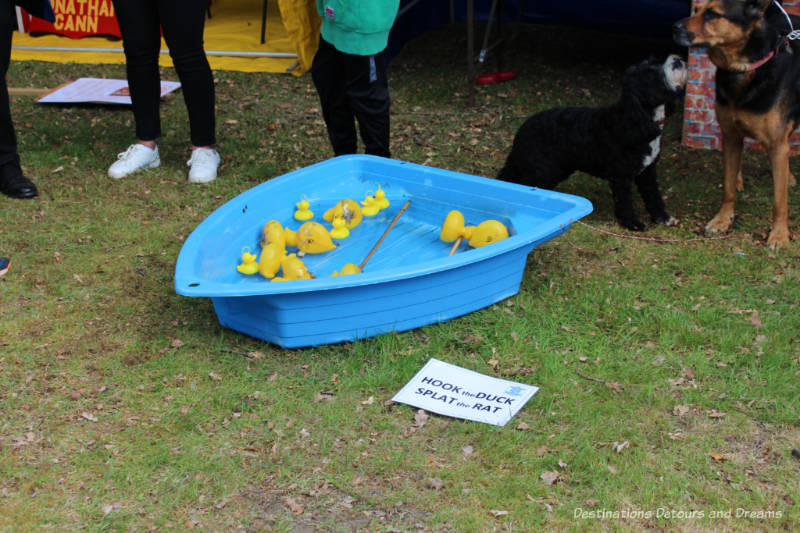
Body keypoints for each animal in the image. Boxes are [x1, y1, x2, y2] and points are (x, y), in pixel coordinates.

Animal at [494, 54, 688, 231]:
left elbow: (653, 195)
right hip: (543, 168)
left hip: (556, 168)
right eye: (650, 74)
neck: (635, 118)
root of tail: (522, 130)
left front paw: (662, 218)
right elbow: (625, 202)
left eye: (655, 61)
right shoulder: (621, 176)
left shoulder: (647, 171)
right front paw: (632, 224)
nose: (677, 60)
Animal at [676, 0, 800, 249]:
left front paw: (779, 234)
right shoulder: (730, 135)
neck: (744, 68)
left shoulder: (777, 145)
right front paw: (723, 219)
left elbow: (780, 201)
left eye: (712, 14)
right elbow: (728, 188)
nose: (675, 28)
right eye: (697, 10)